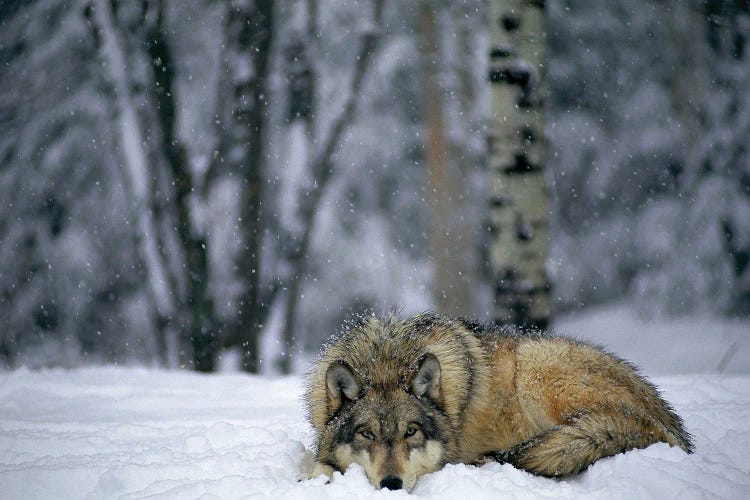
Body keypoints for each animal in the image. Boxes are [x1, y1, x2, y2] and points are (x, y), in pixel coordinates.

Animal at [302, 314, 696, 490]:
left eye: (411, 432)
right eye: (366, 435)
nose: (391, 485)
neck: (386, 359)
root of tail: (670, 426)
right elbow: (317, 461)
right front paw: (314, 476)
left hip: (535, 365)